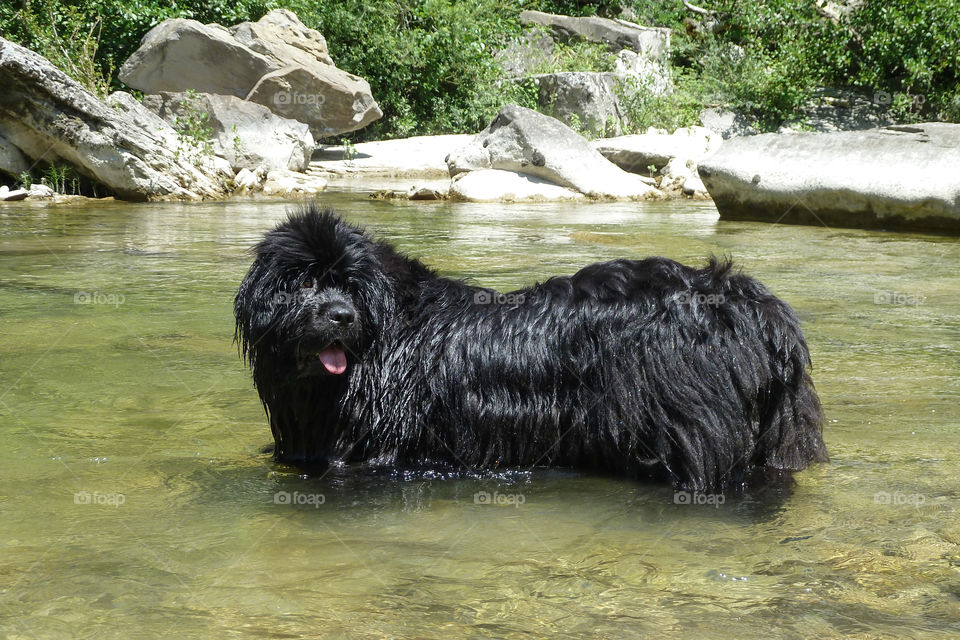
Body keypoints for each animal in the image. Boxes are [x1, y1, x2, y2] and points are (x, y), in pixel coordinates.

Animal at [236, 205, 828, 490]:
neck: (385, 336)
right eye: (304, 283)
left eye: (351, 285)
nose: (342, 315)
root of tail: (754, 301)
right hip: (781, 432)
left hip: (692, 420)